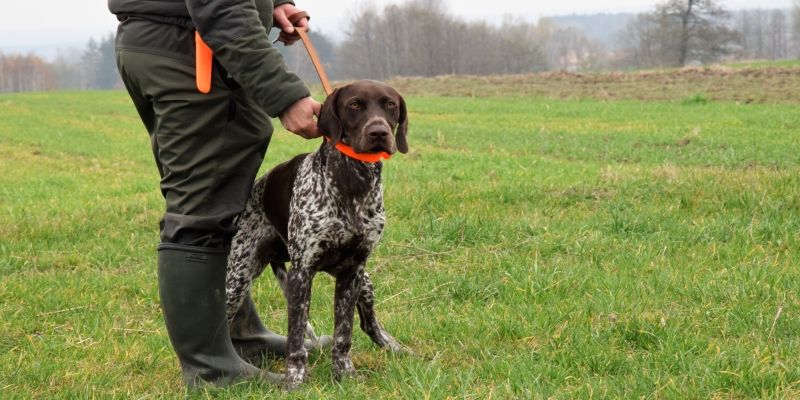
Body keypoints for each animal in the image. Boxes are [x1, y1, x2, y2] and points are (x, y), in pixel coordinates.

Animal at [228, 79, 410, 390]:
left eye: (390, 105)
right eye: (355, 105)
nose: (379, 132)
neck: (352, 182)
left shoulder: (353, 272)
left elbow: (344, 334)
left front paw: (345, 374)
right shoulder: (301, 275)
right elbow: (296, 338)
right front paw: (294, 379)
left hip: (365, 282)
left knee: (369, 323)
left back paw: (393, 346)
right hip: (237, 277)